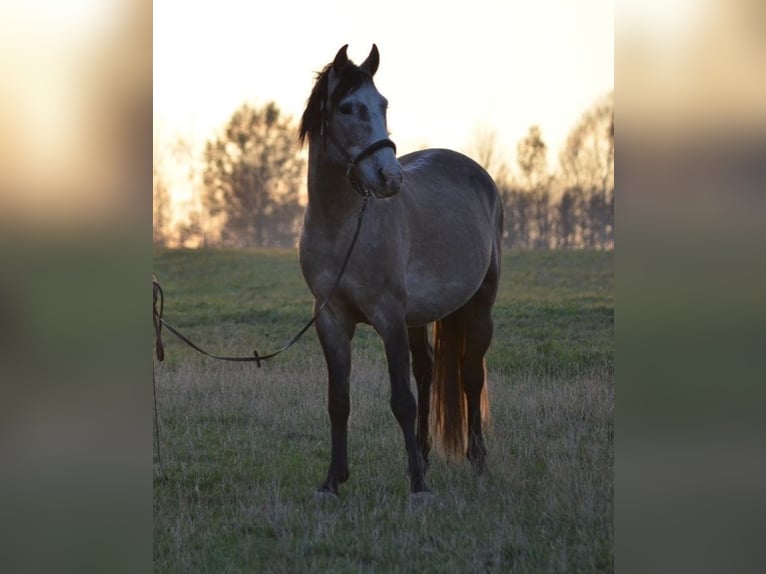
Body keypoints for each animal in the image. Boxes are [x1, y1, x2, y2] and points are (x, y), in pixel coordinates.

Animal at [298, 45, 504, 498]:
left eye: (383, 105)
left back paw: (478, 461)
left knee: (469, 374)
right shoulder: (332, 320)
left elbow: (402, 401)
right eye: (347, 107)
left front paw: (419, 488)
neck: (342, 228)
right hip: (418, 318)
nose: (390, 178)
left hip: (479, 306)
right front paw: (333, 480)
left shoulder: (388, 316)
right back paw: (424, 456)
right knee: (426, 372)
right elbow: (338, 401)